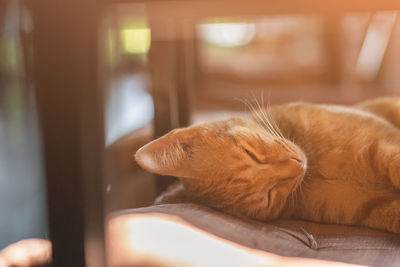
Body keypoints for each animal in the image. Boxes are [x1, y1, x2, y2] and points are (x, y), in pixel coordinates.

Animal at [136, 97, 400, 233]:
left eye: (250, 153)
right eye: (269, 197)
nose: (297, 166)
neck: (316, 168)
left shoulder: (384, 142)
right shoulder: (368, 205)